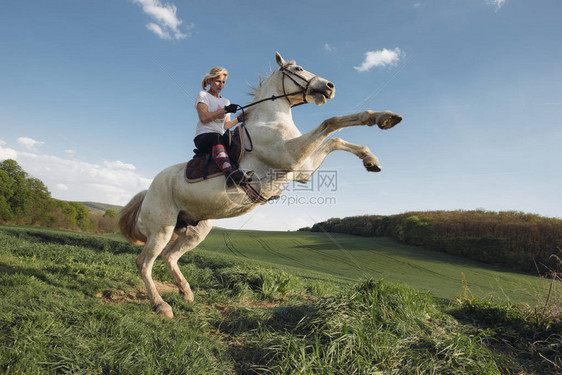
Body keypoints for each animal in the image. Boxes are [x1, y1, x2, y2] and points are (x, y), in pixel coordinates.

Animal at [118, 53, 400, 318]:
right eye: (298, 68)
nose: (329, 86)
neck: (270, 120)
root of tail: (147, 192)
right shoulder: (291, 156)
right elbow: (330, 122)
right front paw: (381, 122)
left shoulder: (302, 169)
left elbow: (335, 139)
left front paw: (374, 148)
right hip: (162, 229)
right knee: (144, 263)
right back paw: (161, 305)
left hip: (195, 230)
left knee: (170, 257)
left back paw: (186, 293)